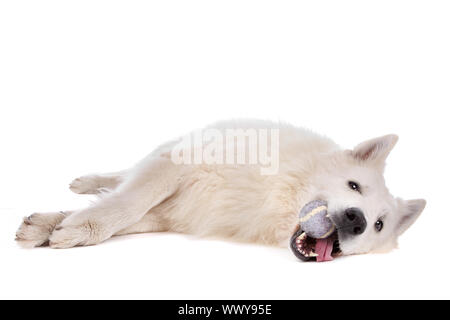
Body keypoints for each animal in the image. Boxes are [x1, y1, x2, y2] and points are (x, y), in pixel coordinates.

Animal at [14, 119, 426, 262]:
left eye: (378, 225)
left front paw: (55, 226)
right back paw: (87, 181)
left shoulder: (175, 213)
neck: (275, 193)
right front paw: (80, 226)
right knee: (121, 176)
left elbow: (127, 215)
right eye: (353, 186)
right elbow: (127, 203)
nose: (356, 220)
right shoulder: (174, 165)